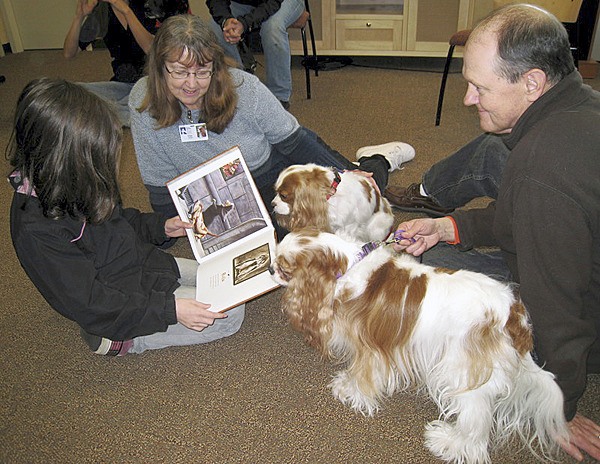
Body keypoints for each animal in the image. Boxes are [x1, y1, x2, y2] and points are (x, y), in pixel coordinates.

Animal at [270, 230, 568, 462]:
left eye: (284, 267)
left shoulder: (370, 345)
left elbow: (363, 373)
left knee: (475, 424)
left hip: (462, 371)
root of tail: (513, 315)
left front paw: (350, 391)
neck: (348, 264)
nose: (271, 269)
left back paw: (449, 443)